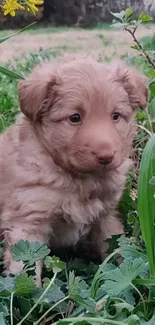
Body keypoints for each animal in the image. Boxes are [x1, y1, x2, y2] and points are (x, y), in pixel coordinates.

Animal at [0, 58, 148, 284]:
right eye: (75, 117)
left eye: (115, 116)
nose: (106, 156)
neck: (77, 179)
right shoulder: (27, 222)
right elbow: (25, 271)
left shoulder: (106, 217)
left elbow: (117, 251)